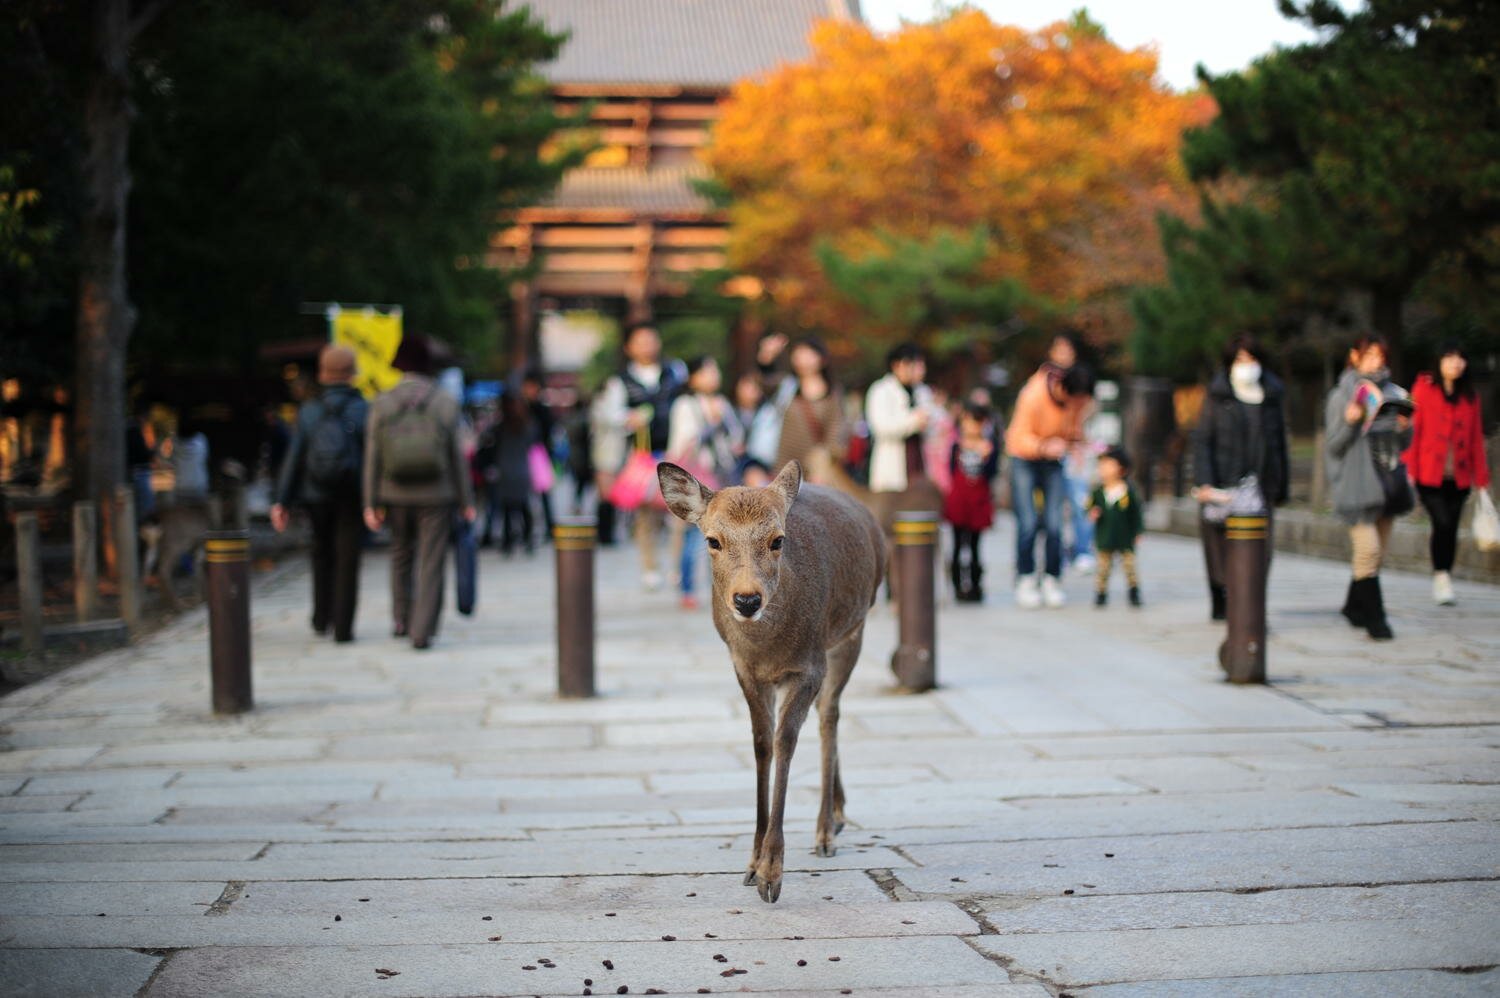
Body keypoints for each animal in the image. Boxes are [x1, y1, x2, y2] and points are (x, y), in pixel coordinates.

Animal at [660, 459, 888, 900]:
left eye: (777, 540)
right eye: (713, 540)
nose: (747, 600)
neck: (768, 648)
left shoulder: (809, 666)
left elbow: (786, 743)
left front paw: (771, 874)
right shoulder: (745, 670)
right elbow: (762, 745)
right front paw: (750, 864)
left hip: (852, 632)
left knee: (830, 716)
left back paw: (825, 832)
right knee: (826, 715)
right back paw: (838, 813)